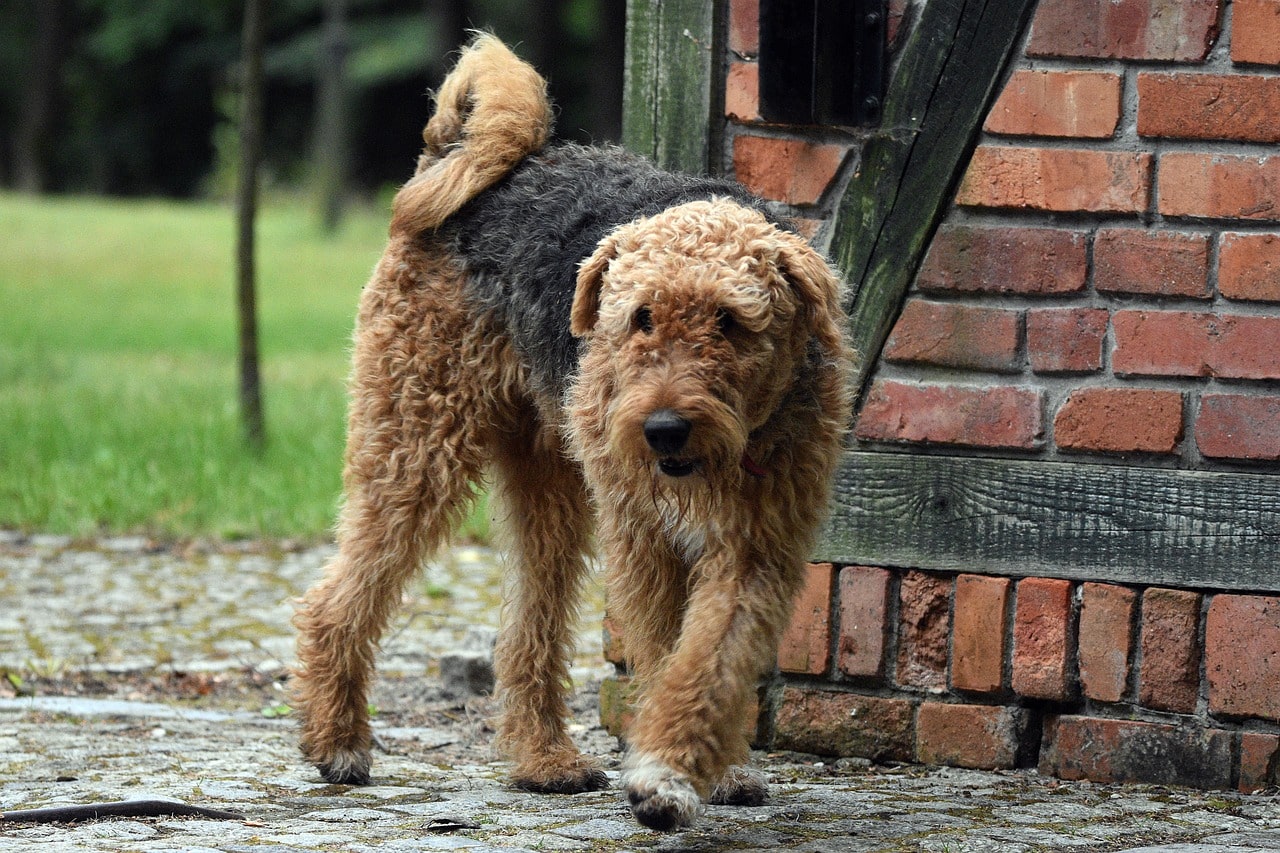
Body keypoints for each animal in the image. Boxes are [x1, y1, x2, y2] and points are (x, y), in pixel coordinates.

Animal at [293, 36, 855, 824]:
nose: (663, 431)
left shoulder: (757, 541)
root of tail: (456, 162)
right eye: (640, 317)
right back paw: (338, 740)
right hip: (416, 448)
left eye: (731, 321)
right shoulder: (645, 534)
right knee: (336, 599)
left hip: (548, 485)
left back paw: (543, 760)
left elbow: (712, 655)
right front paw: (663, 774)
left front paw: (694, 769)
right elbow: (667, 652)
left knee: (525, 629)